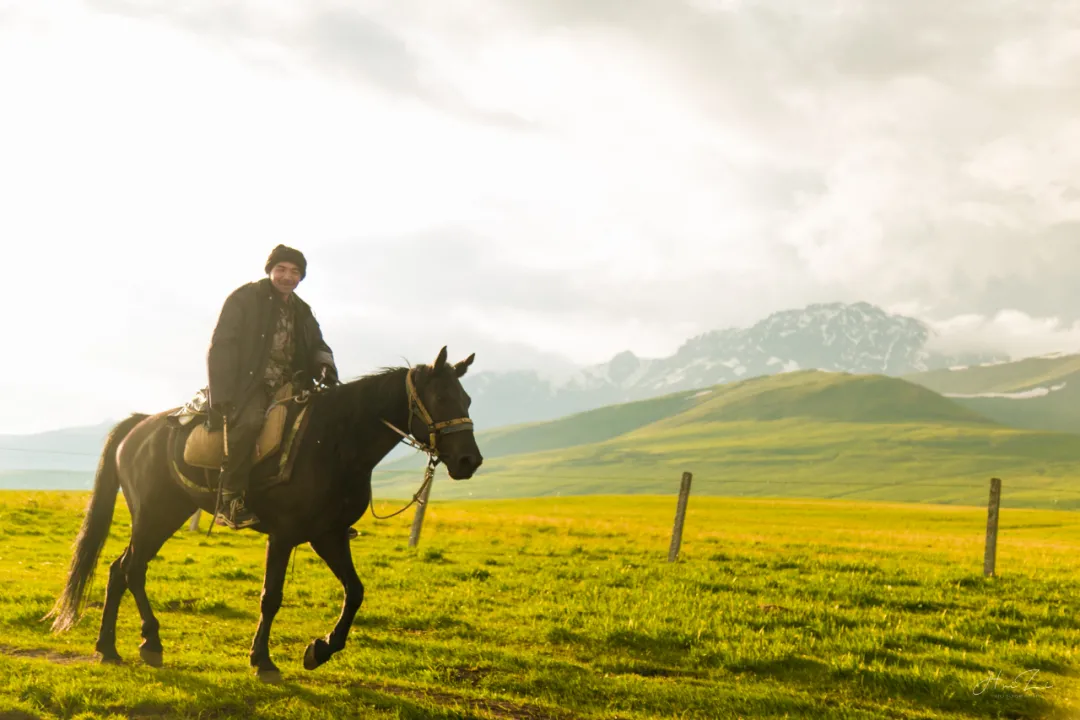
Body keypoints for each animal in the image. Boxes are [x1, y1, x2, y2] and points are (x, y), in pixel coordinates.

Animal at [43, 345, 481, 686]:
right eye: (442, 399)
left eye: (468, 400)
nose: (469, 461)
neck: (336, 442)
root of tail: (140, 426)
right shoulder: (284, 534)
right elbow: (271, 597)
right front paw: (263, 661)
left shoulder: (329, 534)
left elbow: (355, 592)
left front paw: (319, 650)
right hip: (155, 515)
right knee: (130, 569)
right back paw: (146, 643)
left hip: (169, 513)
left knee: (120, 569)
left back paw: (111, 648)